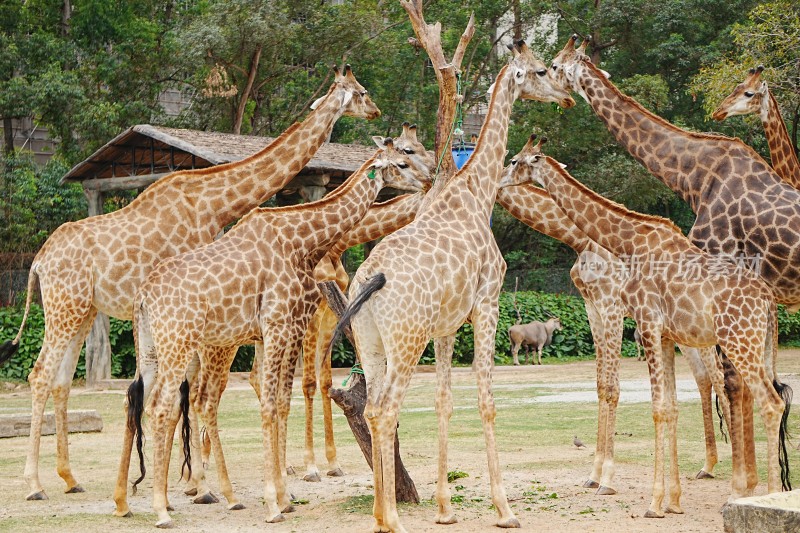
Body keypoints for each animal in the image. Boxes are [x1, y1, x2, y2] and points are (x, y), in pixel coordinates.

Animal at [0, 64, 380, 500]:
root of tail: (38, 262)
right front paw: (198, 482)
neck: (213, 205)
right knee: (40, 374)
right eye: (361, 91)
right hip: (66, 307)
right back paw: (34, 484)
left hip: (81, 311)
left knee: (60, 379)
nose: (376, 112)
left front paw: (189, 479)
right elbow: (192, 389)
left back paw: (70, 478)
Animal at [114, 138, 432, 528]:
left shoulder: (272, 334)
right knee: (167, 405)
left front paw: (285, 496)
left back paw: (128, 501)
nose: (428, 179)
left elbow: (280, 402)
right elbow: (272, 404)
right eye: (403, 161)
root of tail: (143, 296)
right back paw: (166, 507)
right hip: (182, 343)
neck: (301, 239)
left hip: (151, 346)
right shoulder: (283, 325)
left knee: (139, 398)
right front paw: (274, 503)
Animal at [332, 42, 576, 532]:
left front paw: (445, 508)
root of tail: (370, 277)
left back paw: (379, 515)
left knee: (370, 407)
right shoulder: (487, 303)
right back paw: (393, 519)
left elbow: (444, 401)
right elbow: (486, 400)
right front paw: (505, 510)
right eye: (543, 70)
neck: (476, 195)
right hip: (407, 340)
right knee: (386, 409)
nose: (567, 98)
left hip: (370, 340)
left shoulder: (446, 326)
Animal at [494, 135, 732, 492]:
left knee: (719, 377)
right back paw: (707, 465)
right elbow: (600, 385)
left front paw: (606, 476)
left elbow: (612, 387)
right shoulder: (592, 307)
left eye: (510, 161)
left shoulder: (612, 306)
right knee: (704, 379)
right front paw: (593, 474)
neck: (580, 240)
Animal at [532, 150, 788, 516]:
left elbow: (636, 398)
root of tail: (768, 300)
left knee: (754, 396)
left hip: (731, 341)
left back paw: (753, 491)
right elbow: (667, 406)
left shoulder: (630, 317)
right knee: (737, 390)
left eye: (518, 162)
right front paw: (672, 500)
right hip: (749, 344)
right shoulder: (646, 329)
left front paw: (627, 489)